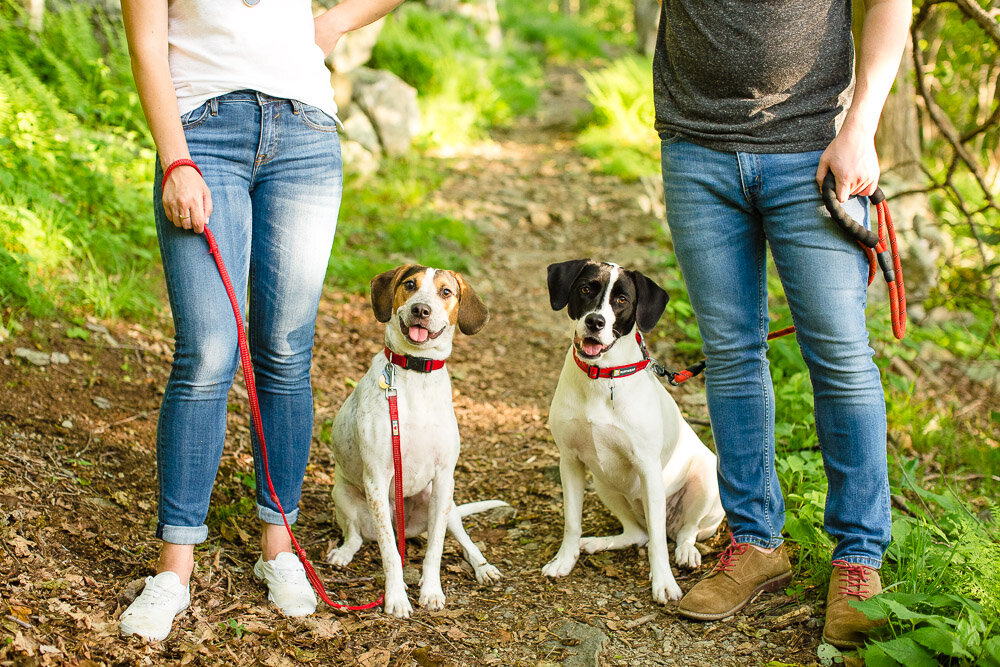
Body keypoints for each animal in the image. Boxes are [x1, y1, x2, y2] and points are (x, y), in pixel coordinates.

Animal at [326, 264, 504, 620]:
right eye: (409, 285)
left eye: (445, 292)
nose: (421, 309)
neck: (416, 373)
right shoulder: (377, 480)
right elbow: (390, 552)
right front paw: (396, 597)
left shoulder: (445, 477)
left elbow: (435, 549)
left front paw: (431, 591)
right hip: (343, 495)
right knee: (356, 535)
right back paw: (343, 552)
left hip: (447, 504)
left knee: (464, 540)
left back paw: (483, 567)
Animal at [544, 260, 724, 604]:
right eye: (585, 289)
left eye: (622, 300)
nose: (595, 321)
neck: (602, 377)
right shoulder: (570, 460)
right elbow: (572, 521)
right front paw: (564, 560)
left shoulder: (648, 468)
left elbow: (658, 545)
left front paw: (664, 583)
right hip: (605, 484)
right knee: (639, 534)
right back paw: (599, 542)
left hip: (706, 480)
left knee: (683, 531)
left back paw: (686, 552)